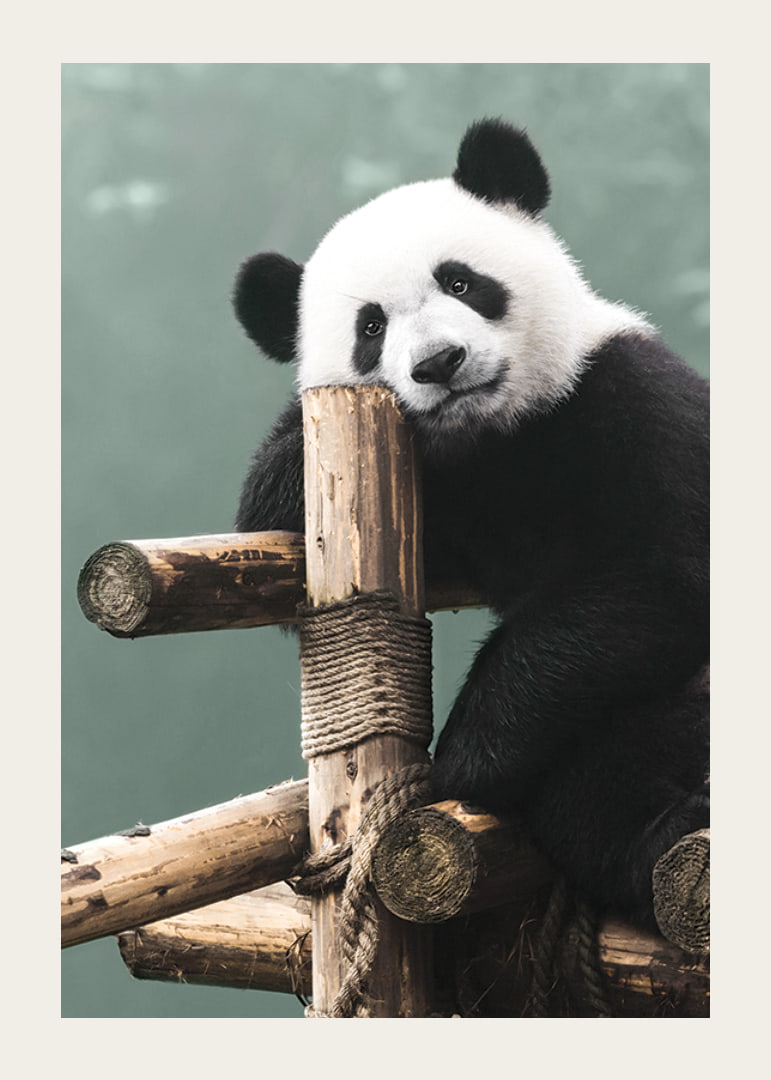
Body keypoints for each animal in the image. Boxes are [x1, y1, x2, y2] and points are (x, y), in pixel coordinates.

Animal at [232, 119, 709, 932]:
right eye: (370, 326)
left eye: (460, 282)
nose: (438, 362)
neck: (497, 434)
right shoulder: (446, 494)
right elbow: (265, 519)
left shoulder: (631, 400)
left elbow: (656, 574)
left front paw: (461, 758)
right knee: (595, 791)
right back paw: (664, 833)